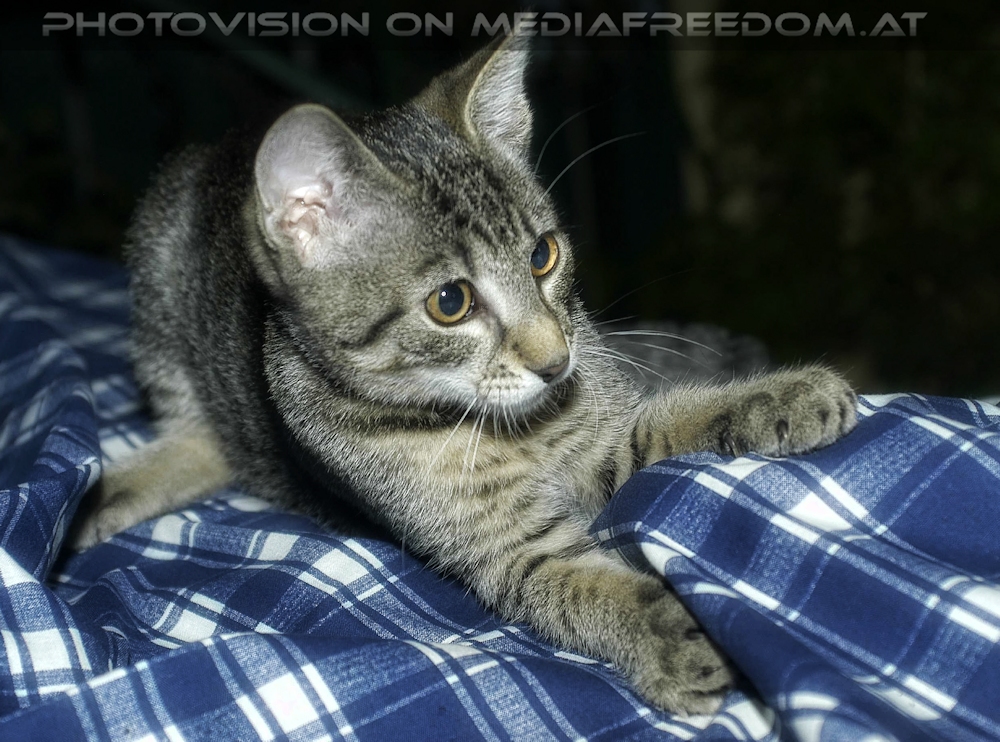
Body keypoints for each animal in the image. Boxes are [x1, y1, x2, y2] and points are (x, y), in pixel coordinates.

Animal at [69, 36, 857, 715]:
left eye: (543, 255)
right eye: (450, 303)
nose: (557, 360)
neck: (494, 424)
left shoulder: (602, 429)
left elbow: (666, 420)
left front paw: (787, 395)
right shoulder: (505, 552)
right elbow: (583, 587)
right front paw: (675, 643)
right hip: (160, 284)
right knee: (200, 439)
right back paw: (100, 497)